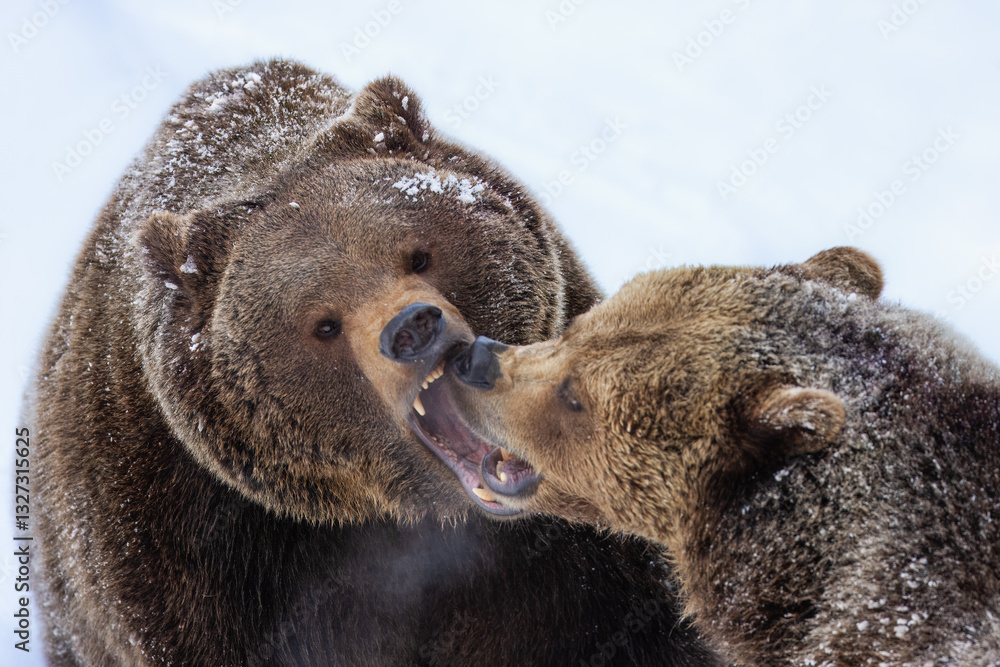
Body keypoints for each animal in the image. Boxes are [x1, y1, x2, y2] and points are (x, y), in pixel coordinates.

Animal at [26, 59, 723, 666]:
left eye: (418, 253)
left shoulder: (561, 558)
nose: (413, 328)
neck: (408, 519)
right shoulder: (199, 560)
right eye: (323, 323)